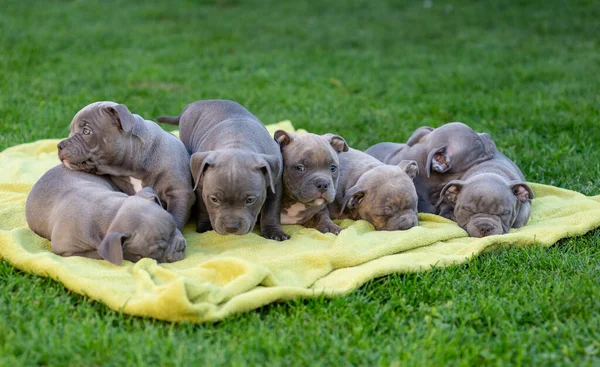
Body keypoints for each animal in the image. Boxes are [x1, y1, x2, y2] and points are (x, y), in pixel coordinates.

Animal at [25, 166, 186, 264]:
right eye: (158, 251)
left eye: (175, 228)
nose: (181, 247)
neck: (112, 212)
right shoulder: (66, 250)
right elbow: (97, 253)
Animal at [156, 100, 290, 242]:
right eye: (214, 199)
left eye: (250, 200)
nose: (231, 227)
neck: (238, 142)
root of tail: (192, 105)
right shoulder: (201, 185)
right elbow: (203, 207)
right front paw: (205, 227)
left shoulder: (275, 184)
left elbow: (271, 209)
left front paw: (274, 231)